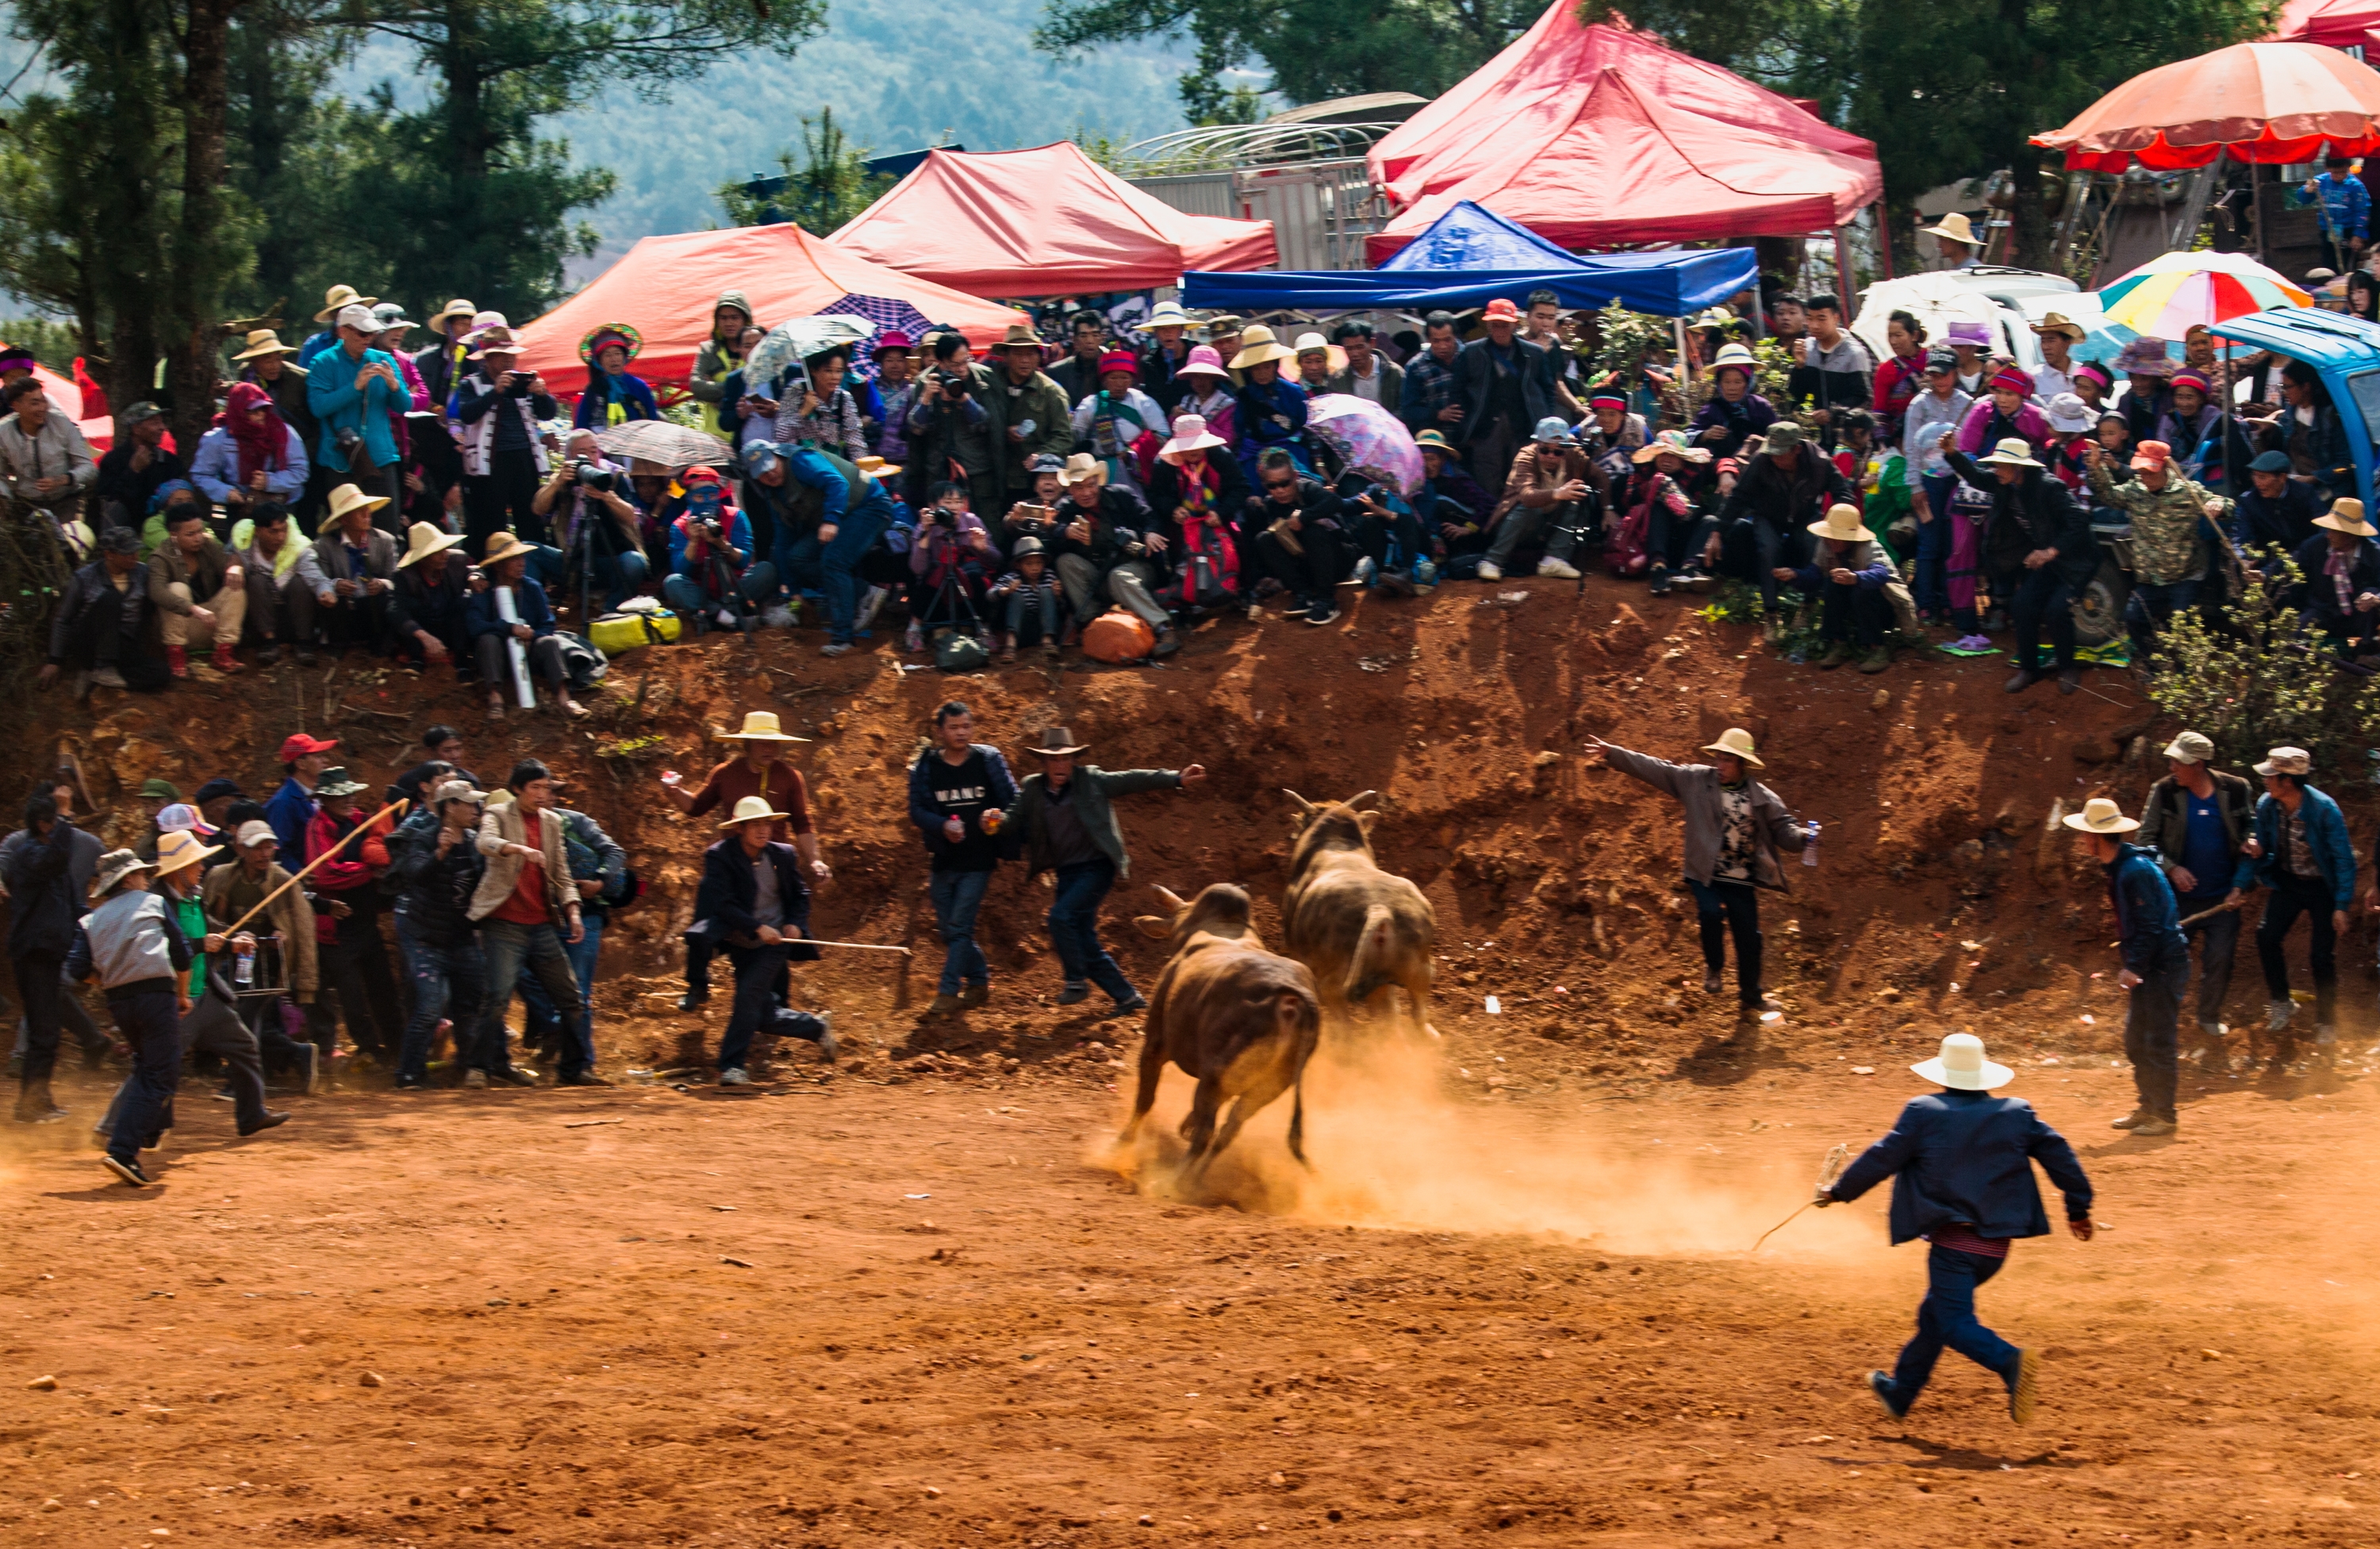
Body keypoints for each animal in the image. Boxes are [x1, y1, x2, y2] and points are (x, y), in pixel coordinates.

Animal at [1114, 885, 1323, 1175]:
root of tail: (1292, 999)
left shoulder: (1155, 1044)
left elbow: (1145, 1099)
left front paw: (1122, 1143)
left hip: (1216, 1076)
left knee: (1206, 1132)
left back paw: (1173, 1179)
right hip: (1269, 1087)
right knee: (1228, 1131)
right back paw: (1194, 1177)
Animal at [1285, 795, 1428, 1037]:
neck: (1337, 846)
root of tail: (1378, 910)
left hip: (1334, 987)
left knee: (1346, 1029)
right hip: (1417, 974)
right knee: (1414, 1019)